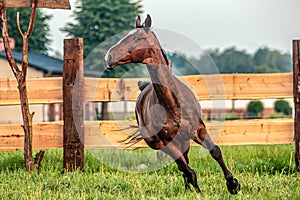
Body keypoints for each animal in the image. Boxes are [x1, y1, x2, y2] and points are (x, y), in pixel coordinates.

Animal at [104, 13, 240, 194]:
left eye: (138, 37)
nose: (108, 57)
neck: (173, 105)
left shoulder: (198, 130)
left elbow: (215, 151)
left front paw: (233, 184)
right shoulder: (167, 143)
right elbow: (187, 170)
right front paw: (198, 193)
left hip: (185, 142)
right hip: (164, 144)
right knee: (183, 167)